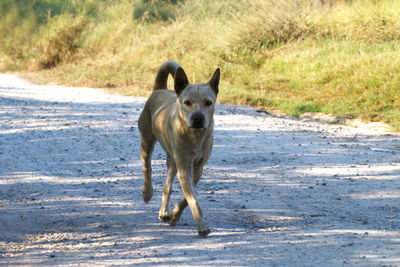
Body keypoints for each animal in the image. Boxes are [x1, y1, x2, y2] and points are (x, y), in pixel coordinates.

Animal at [137, 61, 219, 237]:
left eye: (208, 102)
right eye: (187, 102)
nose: (197, 118)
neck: (195, 136)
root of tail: (159, 90)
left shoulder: (197, 168)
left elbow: (185, 198)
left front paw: (175, 214)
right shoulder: (184, 167)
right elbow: (192, 199)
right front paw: (202, 226)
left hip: (172, 160)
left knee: (167, 186)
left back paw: (164, 212)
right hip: (146, 142)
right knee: (147, 167)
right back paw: (147, 193)